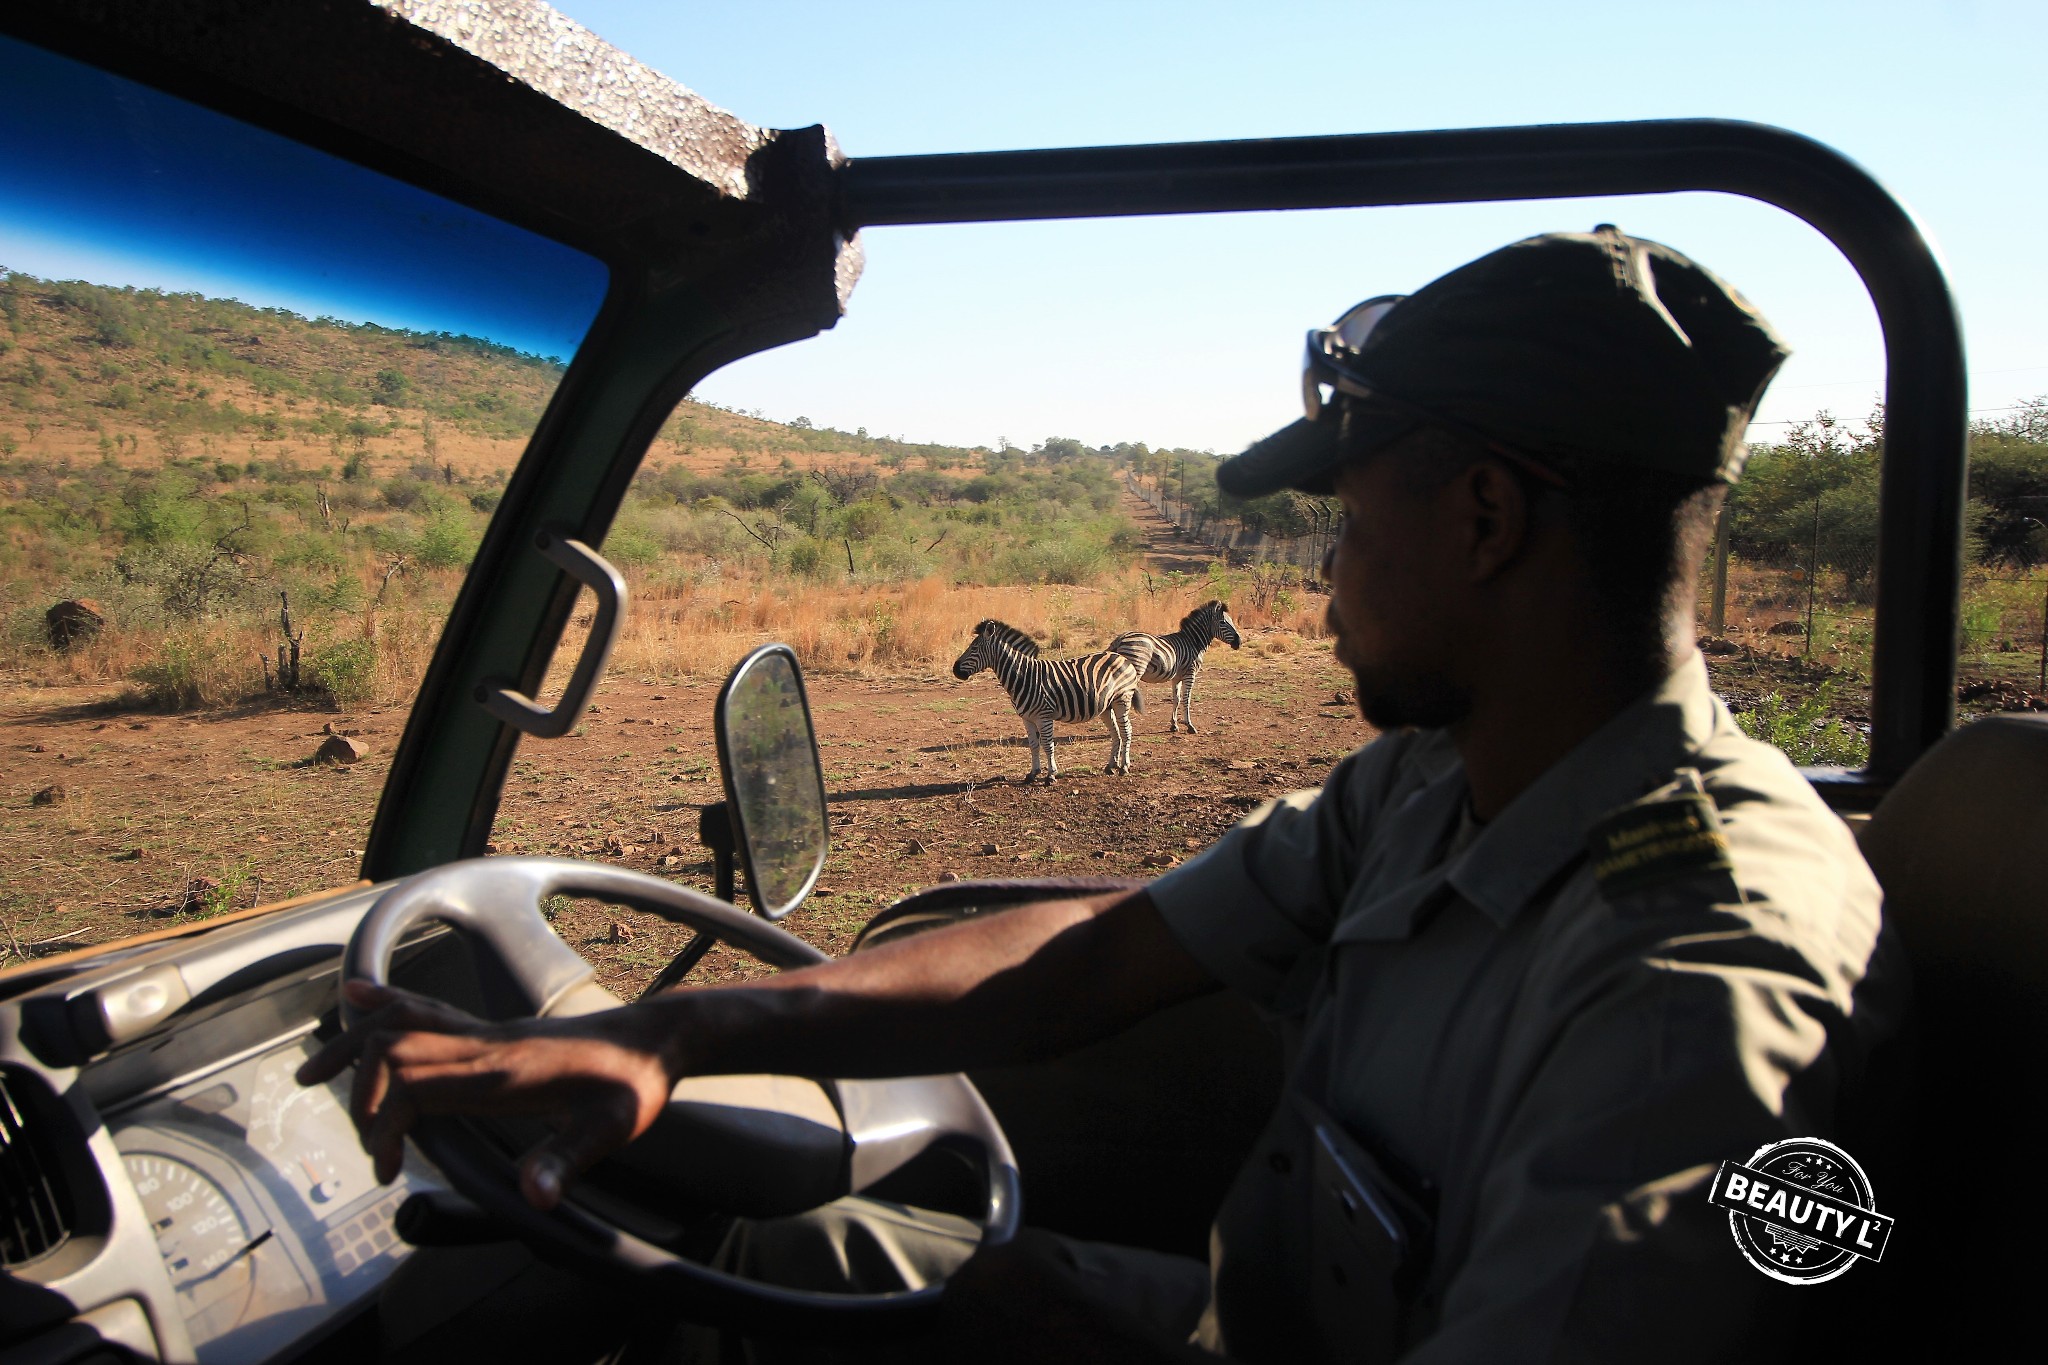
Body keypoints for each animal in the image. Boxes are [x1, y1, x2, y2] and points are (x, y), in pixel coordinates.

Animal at [950, 618, 1146, 777]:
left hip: (1122, 699)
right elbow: (1033, 744)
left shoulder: (1043, 716)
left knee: (1126, 731)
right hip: (1106, 705)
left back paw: (1124, 767)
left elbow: (1047, 744)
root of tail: (1120, 656)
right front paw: (1033, 773)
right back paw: (1111, 766)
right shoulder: (1027, 718)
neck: (1023, 676)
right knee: (1115, 733)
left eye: (974, 648)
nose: (955, 669)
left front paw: (1051, 774)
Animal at [1114, 601, 1236, 736]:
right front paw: (1189, 726)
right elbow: (1186, 699)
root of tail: (1120, 639)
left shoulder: (1177, 677)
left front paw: (1174, 725)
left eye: (1231, 621)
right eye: (1223, 622)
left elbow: (1176, 699)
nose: (1239, 642)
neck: (1193, 642)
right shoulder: (1190, 673)